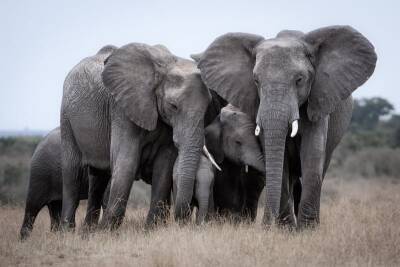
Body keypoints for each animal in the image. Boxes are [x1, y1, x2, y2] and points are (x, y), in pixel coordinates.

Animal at [59, 43, 216, 230]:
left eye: (208, 107)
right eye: (173, 106)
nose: (183, 219)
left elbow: (164, 166)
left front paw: (150, 230)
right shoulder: (122, 108)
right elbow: (127, 162)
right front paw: (107, 232)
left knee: (98, 178)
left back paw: (88, 232)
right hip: (67, 117)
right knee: (72, 174)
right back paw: (67, 231)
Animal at [195, 25, 376, 230]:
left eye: (299, 80)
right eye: (256, 80)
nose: (267, 224)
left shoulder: (318, 99)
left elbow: (312, 152)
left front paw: (307, 231)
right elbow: (277, 158)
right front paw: (285, 229)